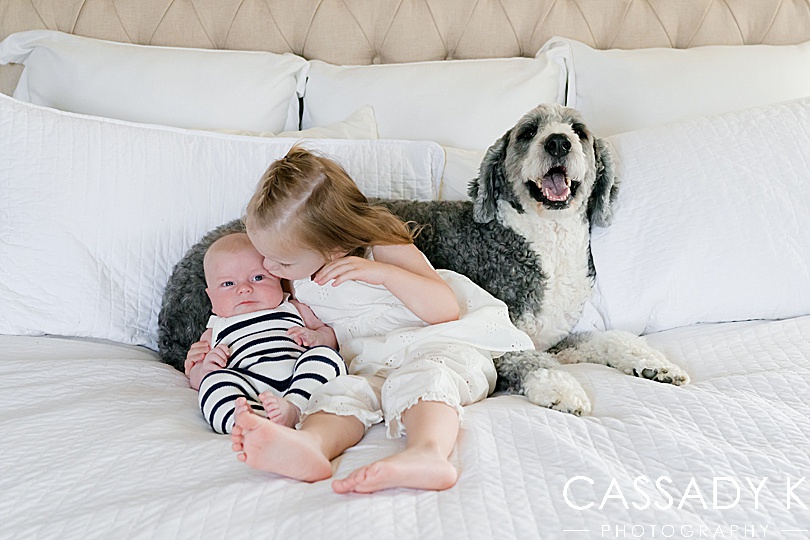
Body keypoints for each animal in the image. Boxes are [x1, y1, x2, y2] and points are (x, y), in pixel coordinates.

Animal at [380, 104, 688, 418]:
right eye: (528, 132)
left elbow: (604, 338)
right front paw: (561, 388)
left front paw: (653, 362)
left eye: (579, 131)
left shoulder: (553, 339)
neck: (548, 239)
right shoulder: (497, 335)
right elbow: (532, 361)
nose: (558, 142)